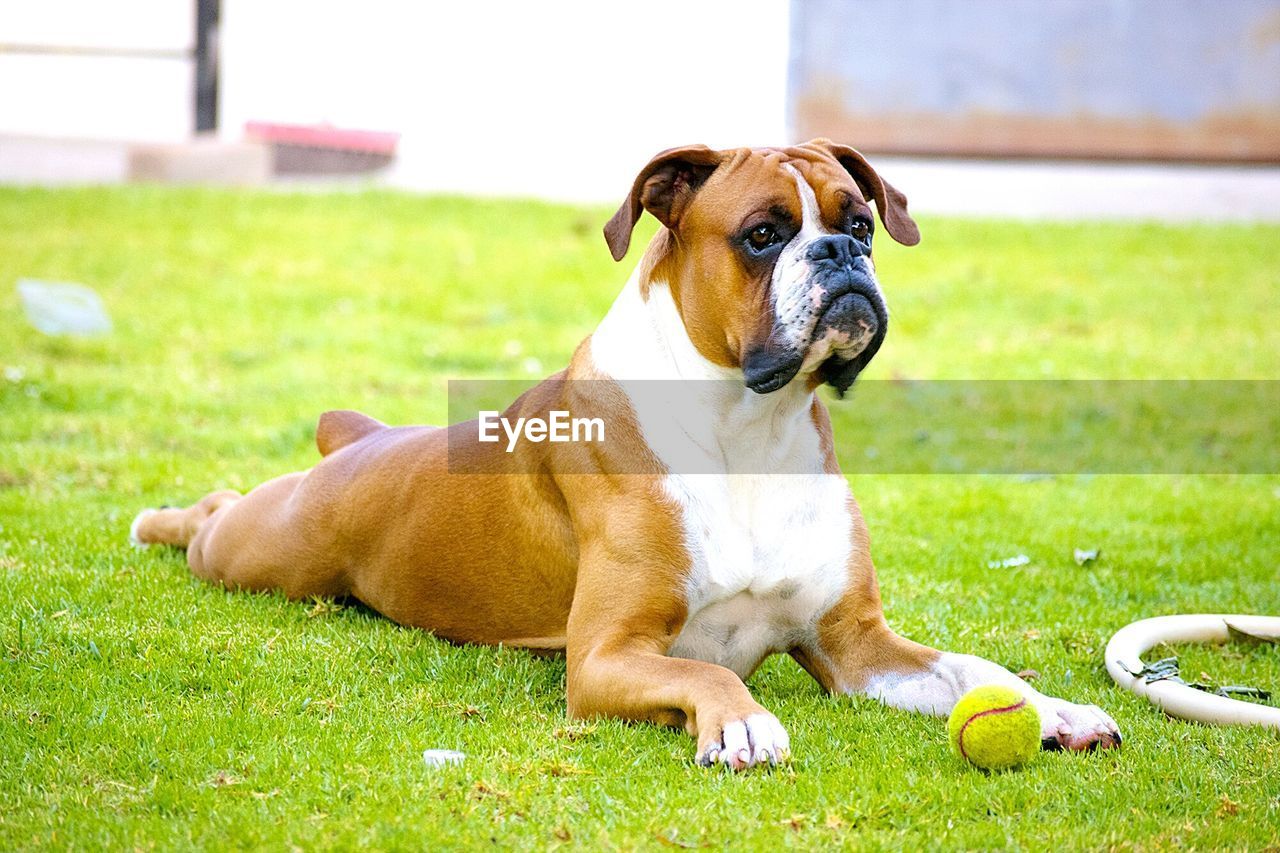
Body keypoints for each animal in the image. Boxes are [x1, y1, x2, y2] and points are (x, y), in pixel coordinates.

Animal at [132, 137, 1121, 763]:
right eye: (764, 234)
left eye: (862, 222)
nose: (842, 255)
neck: (747, 429)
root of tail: (366, 442)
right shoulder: (606, 655)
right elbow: (699, 666)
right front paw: (741, 723)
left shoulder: (856, 646)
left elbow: (978, 668)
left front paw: (1055, 708)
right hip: (262, 554)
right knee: (215, 516)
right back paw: (159, 519)